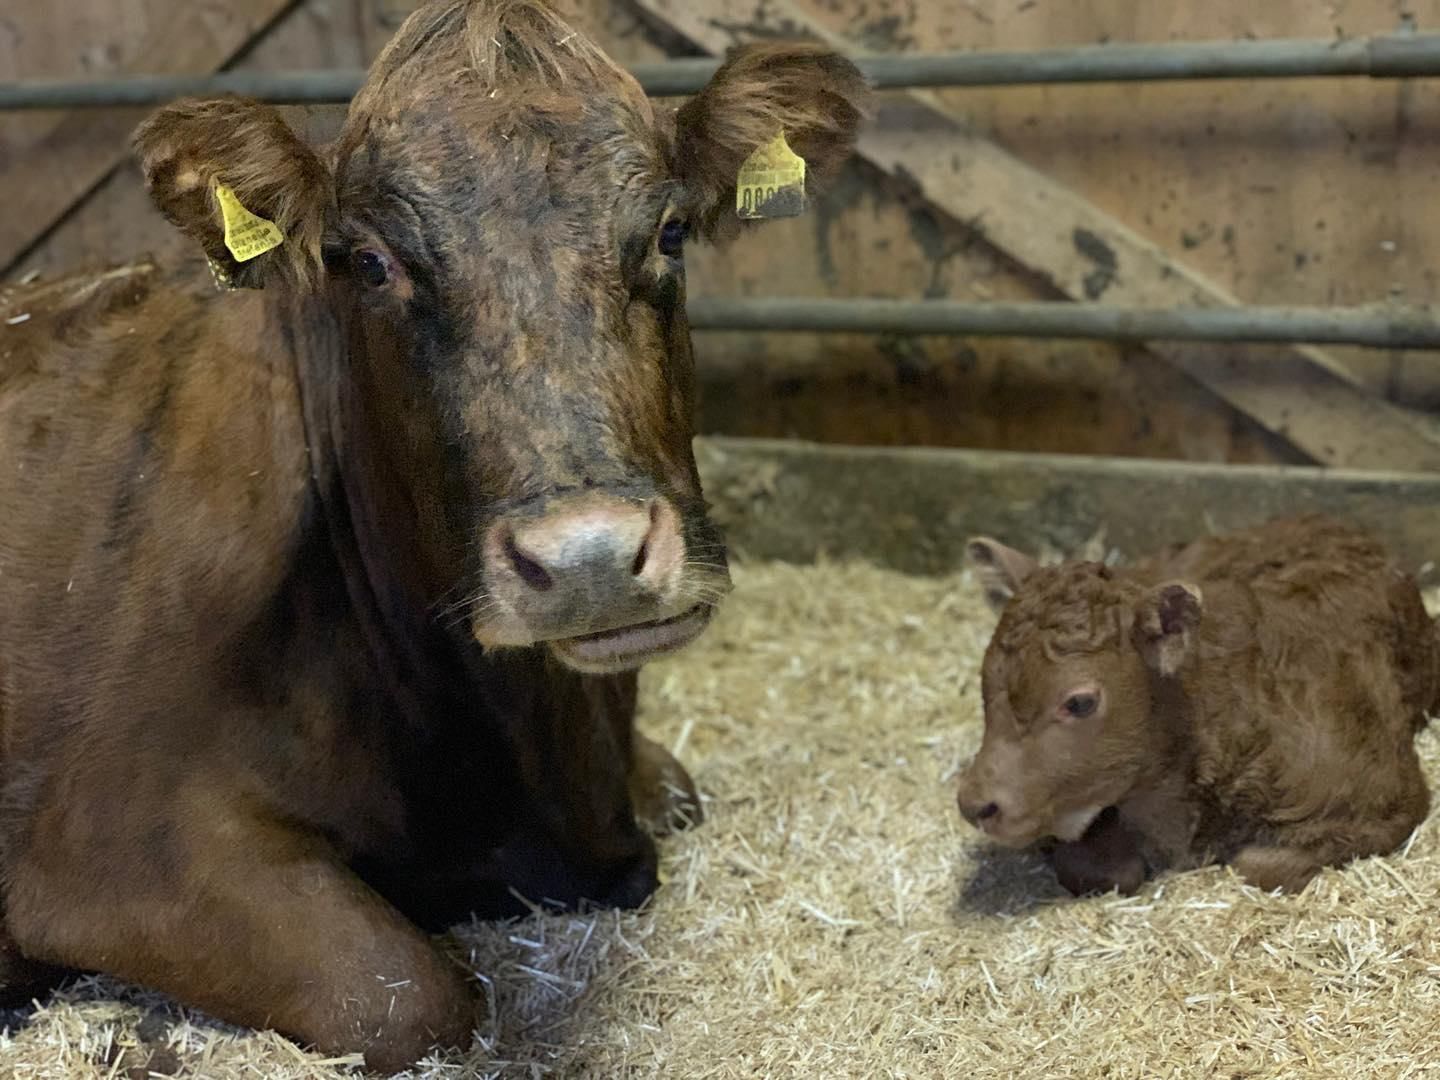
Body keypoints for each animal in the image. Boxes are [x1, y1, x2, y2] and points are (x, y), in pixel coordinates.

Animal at [0, 1, 867, 1070]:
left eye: (669, 231)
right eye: (371, 264)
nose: (587, 558)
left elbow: (676, 788)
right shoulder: (110, 843)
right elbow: (408, 995)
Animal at [956, 515, 1440, 898]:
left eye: (1078, 702)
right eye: (985, 686)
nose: (974, 804)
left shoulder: (1390, 799)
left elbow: (1257, 865)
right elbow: (1109, 869)